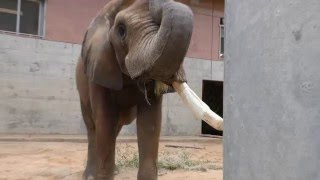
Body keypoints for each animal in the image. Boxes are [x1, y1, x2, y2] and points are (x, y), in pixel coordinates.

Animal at [76, 0, 222, 179]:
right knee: (93, 128)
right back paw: (90, 174)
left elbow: (150, 124)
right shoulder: (99, 70)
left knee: (116, 127)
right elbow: (105, 119)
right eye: (121, 30)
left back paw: (115, 171)